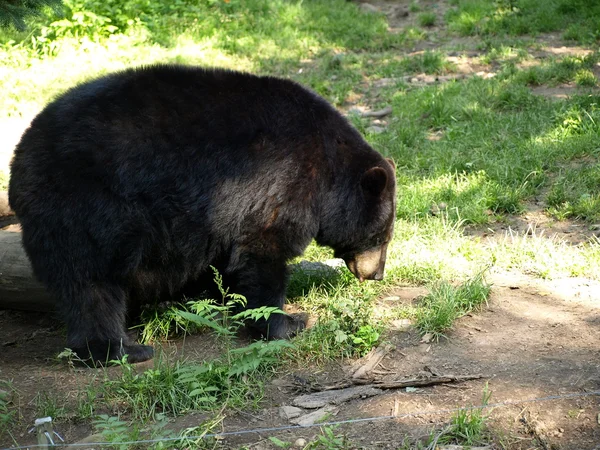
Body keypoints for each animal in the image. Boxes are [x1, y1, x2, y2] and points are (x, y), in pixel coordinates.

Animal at [8, 65, 398, 364]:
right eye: (381, 236)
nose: (377, 274)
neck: (327, 167)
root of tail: (20, 156)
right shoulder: (282, 179)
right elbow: (263, 252)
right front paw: (286, 322)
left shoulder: (216, 219)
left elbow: (225, 262)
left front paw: (212, 300)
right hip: (89, 206)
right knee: (91, 283)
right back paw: (118, 349)